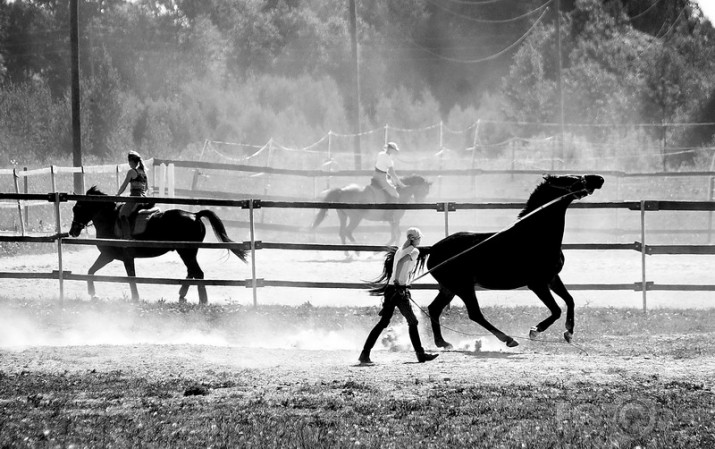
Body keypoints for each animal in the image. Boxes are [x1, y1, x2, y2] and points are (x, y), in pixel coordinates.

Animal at [69, 186, 249, 304]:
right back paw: (182, 294)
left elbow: (130, 277)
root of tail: (195, 215)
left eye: (78, 208)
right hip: (188, 252)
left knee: (198, 273)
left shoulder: (122, 257)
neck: (111, 219)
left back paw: (202, 300)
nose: (73, 231)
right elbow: (91, 271)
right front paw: (93, 294)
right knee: (192, 271)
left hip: (187, 252)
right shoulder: (108, 255)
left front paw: (135, 298)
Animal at [372, 174, 608, 346]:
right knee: (475, 313)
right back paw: (508, 339)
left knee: (434, 308)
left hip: (450, 287)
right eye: (570, 179)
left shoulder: (552, 278)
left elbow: (570, 300)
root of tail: (433, 248)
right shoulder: (537, 283)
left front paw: (569, 332)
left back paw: (442, 342)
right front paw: (535, 330)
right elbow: (556, 309)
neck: (535, 235)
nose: (598, 179)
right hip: (464, 287)